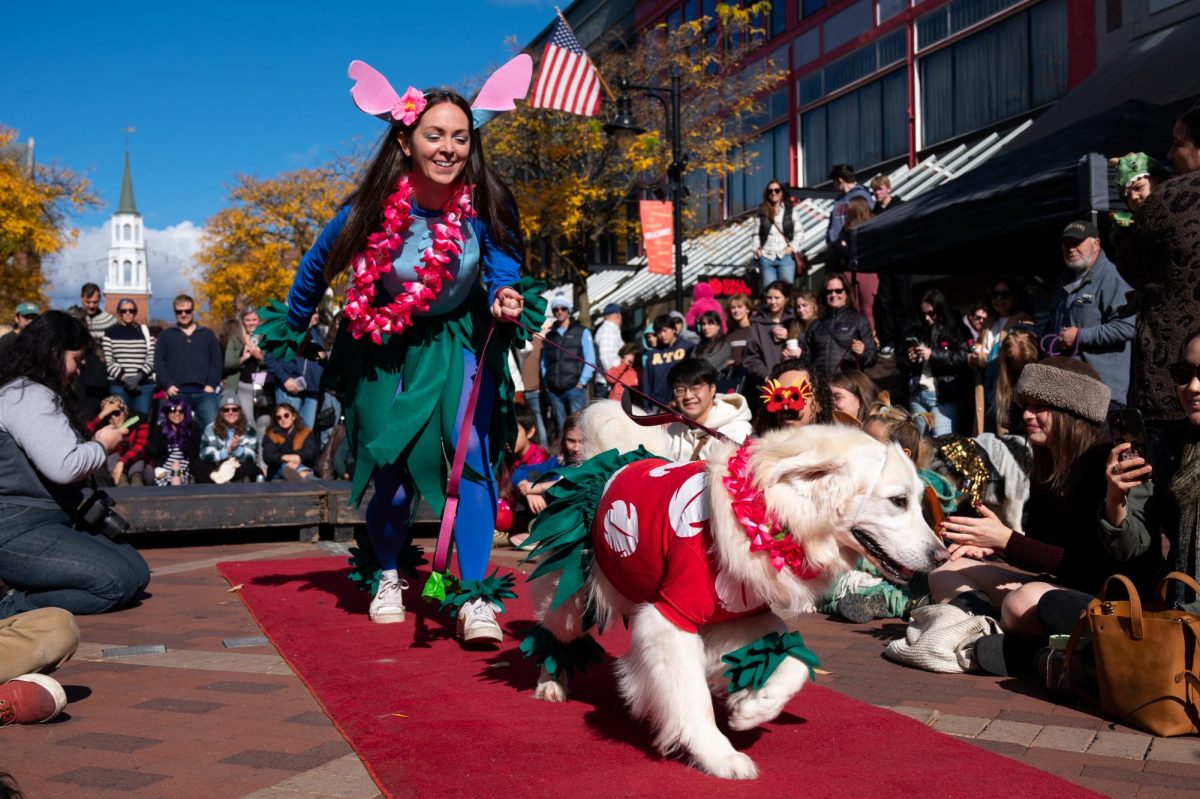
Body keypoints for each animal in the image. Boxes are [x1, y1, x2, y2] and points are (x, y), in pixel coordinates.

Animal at [530, 422, 940, 777]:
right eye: (899, 501)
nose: (941, 556)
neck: (769, 513)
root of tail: (617, 461)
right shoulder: (671, 619)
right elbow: (692, 698)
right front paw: (718, 754)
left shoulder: (740, 616)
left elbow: (795, 661)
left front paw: (753, 708)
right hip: (572, 600)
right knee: (550, 630)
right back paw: (550, 683)